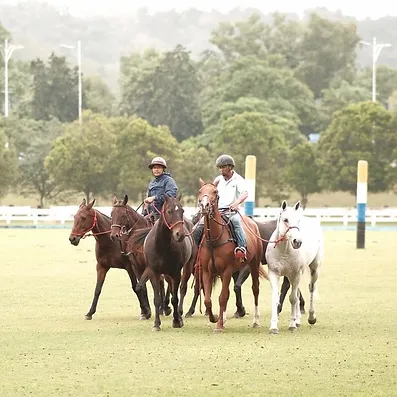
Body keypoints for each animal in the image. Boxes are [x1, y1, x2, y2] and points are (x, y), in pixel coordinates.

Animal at [128, 195, 196, 332]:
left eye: (182, 211)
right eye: (169, 211)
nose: (180, 234)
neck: (161, 246)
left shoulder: (176, 273)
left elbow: (175, 298)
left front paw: (176, 321)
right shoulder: (153, 272)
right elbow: (157, 299)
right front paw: (156, 324)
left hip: (187, 266)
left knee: (182, 289)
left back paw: (179, 314)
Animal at [196, 179, 264, 332]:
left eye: (215, 192)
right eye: (200, 191)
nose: (204, 206)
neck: (214, 240)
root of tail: (252, 222)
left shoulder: (226, 270)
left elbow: (222, 297)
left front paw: (219, 325)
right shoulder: (207, 271)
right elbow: (208, 299)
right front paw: (215, 318)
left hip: (254, 264)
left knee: (255, 289)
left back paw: (256, 321)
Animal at [262, 200, 322, 332]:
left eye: (298, 220)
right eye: (285, 219)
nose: (297, 241)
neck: (284, 250)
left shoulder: (295, 273)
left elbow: (293, 298)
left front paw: (292, 325)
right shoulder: (274, 273)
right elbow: (276, 299)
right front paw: (273, 327)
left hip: (313, 268)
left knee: (311, 288)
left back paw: (311, 317)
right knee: (298, 293)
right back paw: (298, 320)